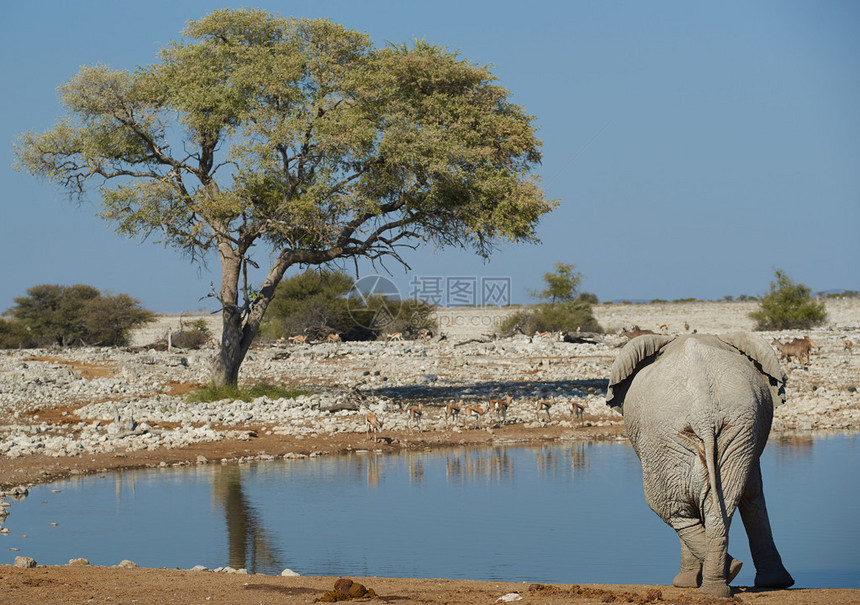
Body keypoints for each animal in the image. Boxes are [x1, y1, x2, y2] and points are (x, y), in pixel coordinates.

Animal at [604, 332, 792, 596]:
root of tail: (705, 413)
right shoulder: (748, 439)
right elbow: (752, 493)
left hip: (666, 438)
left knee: (672, 508)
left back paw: (718, 577)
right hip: (734, 431)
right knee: (717, 505)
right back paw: (722, 582)